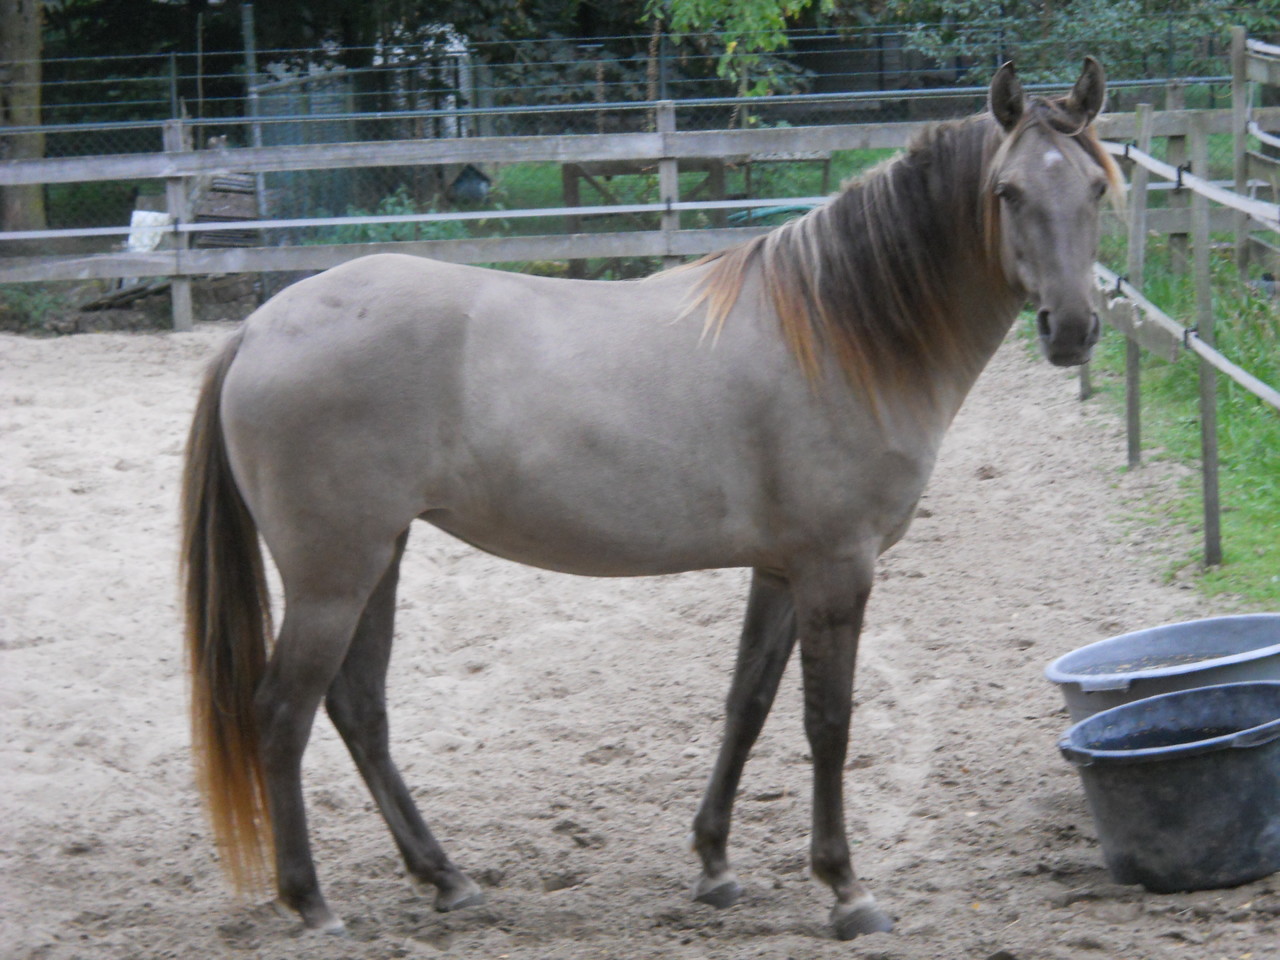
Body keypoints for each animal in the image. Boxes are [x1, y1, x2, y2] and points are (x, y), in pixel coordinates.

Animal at [182, 58, 1120, 941]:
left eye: (1097, 188)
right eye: (1007, 192)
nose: (1073, 329)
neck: (839, 333)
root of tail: (260, 328)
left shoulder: (781, 571)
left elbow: (747, 705)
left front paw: (714, 865)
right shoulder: (836, 569)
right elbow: (828, 722)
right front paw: (846, 889)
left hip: (378, 559)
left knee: (358, 709)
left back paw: (446, 878)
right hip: (334, 575)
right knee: (283, 713)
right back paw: (312, 903)